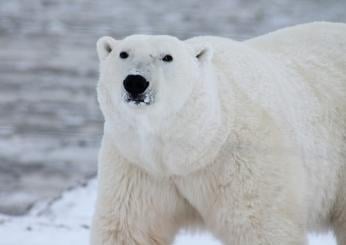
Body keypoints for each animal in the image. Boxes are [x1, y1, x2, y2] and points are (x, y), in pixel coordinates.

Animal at [91, 22, 346, 244]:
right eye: (123, 54)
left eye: (167, 57)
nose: (135, 82)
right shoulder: (138, 165)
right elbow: (129, 228)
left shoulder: (242, 161)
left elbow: (261, 226)